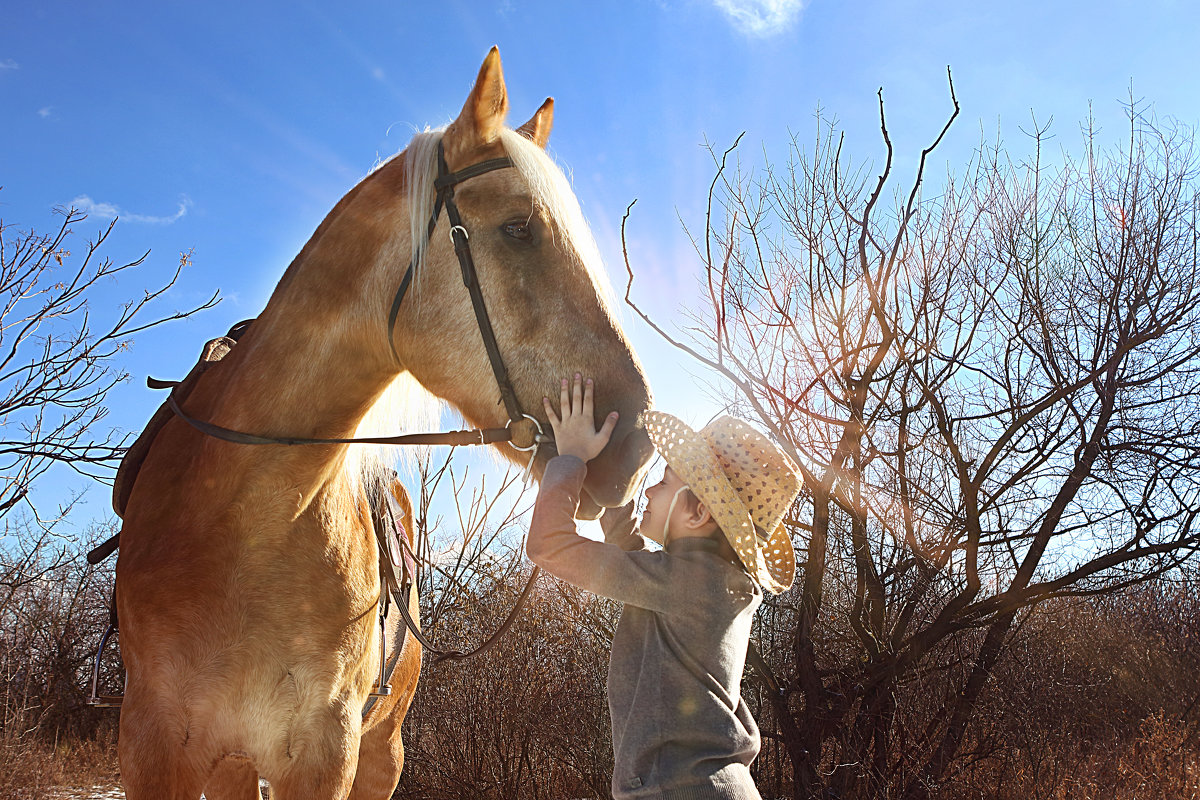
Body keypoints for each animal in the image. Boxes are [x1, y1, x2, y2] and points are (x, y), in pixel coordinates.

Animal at [114, 50, 657, 800]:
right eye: (518, 227)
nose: (635, 443)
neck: (239, 516)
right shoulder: (152, 746)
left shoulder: (325, 753)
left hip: (380, 753)